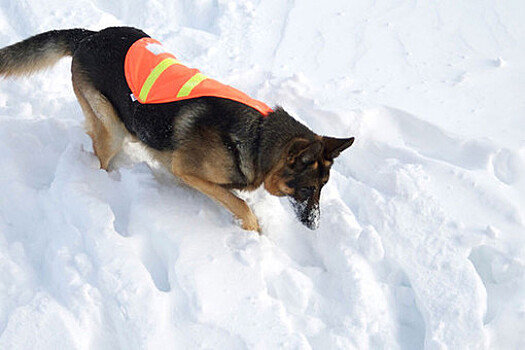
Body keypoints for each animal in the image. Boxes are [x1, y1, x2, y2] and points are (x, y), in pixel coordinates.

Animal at [1, 26, 352, 230]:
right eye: (307, 189)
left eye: (322, 189)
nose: (315, 226)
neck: (259, 136)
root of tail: (89, 36)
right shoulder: (188, 169)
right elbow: (240, 204)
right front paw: (253, 231)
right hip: (111, 126)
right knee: (100, 150)